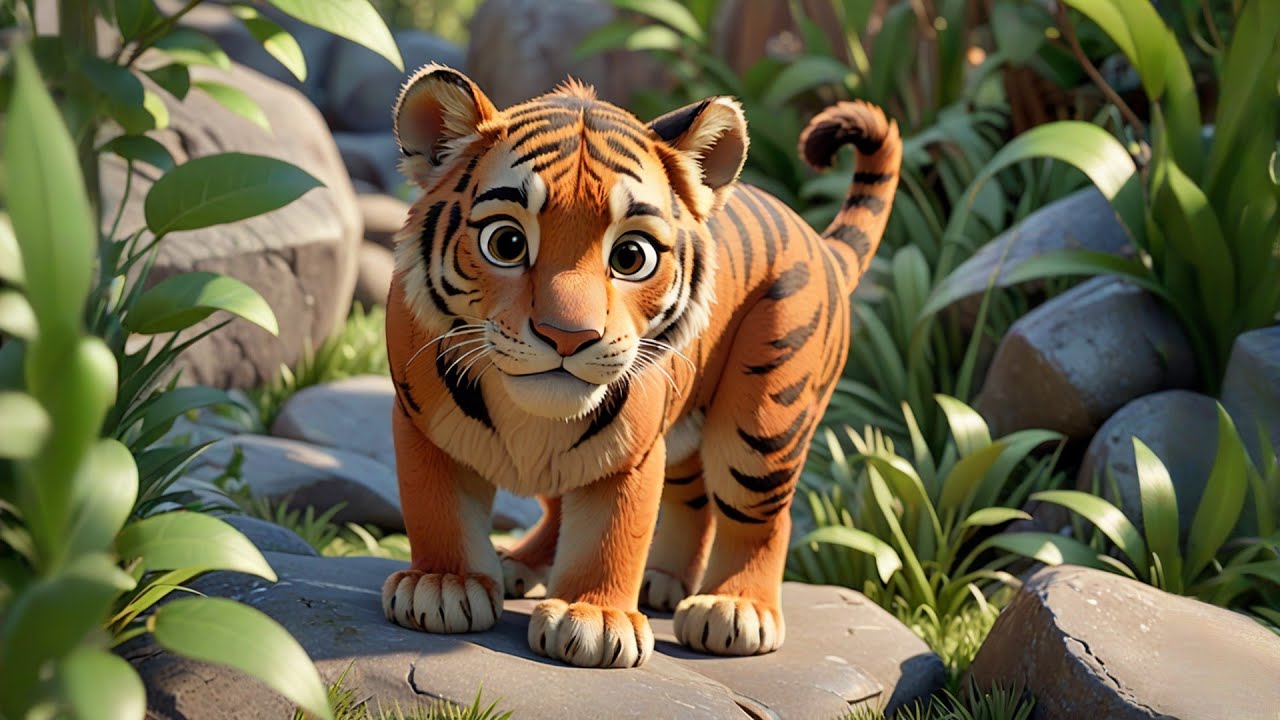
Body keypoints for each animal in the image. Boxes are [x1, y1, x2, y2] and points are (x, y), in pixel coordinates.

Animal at [381, 63, 901, 668]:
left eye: (631, 257)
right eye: (506, 243)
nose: (568, 336)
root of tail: (818, 240)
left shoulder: (631, 451)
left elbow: (612, 532)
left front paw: (594, 617)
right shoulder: (421, 427)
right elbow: (437, 509)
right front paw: (445, 584)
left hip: (762, 425)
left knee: (760, 517)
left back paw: (735, 608)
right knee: (675, 499)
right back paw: (604, 574)